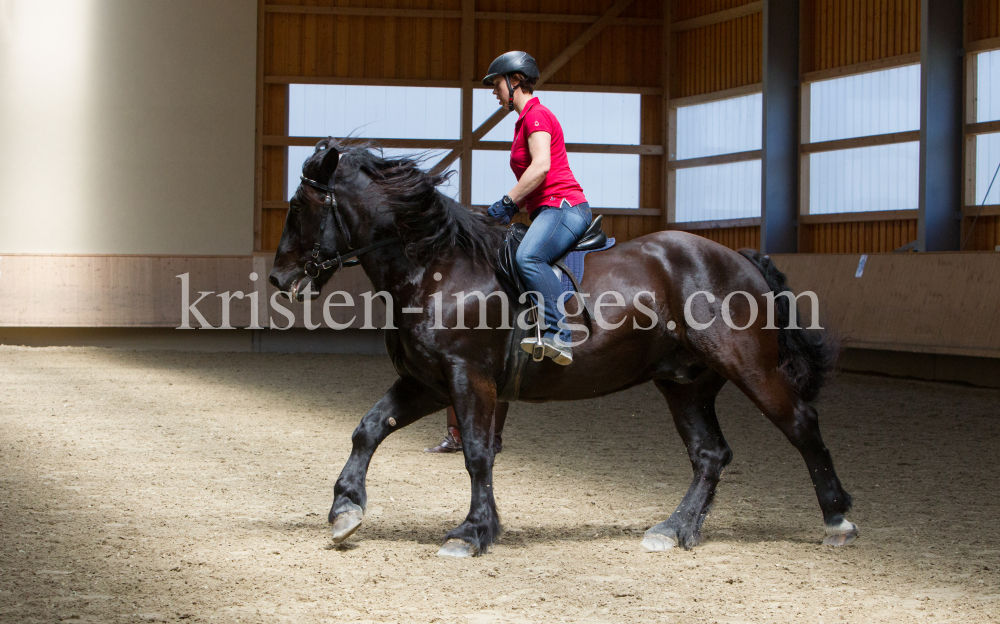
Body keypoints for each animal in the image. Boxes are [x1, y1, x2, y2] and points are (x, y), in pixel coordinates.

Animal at [270, 139, 856, 560]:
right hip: (684, 383)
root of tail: (738, 258)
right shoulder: (428, 381)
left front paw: (472, 532)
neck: (436, 267)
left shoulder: (468, 377)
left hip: (751, 368)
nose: (279, 279)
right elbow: (369, 427)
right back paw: (674, 529)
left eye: (299, 206)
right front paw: (346, 509)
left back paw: (838, 520)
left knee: (802, 426)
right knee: (709, 455)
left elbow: (477, 454)